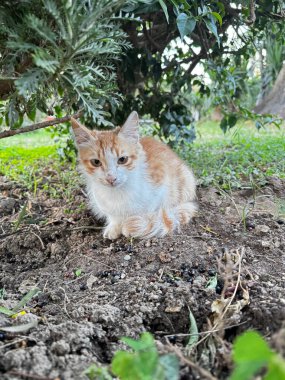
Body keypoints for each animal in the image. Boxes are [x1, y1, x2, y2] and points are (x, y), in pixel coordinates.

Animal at [70, 111, 196, 239]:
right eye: (96, 162)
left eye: (122, 159)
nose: (111, 178)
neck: (117, 194)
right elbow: (114, 216)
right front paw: (114, 226)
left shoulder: (161, 186)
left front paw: (138, 223)